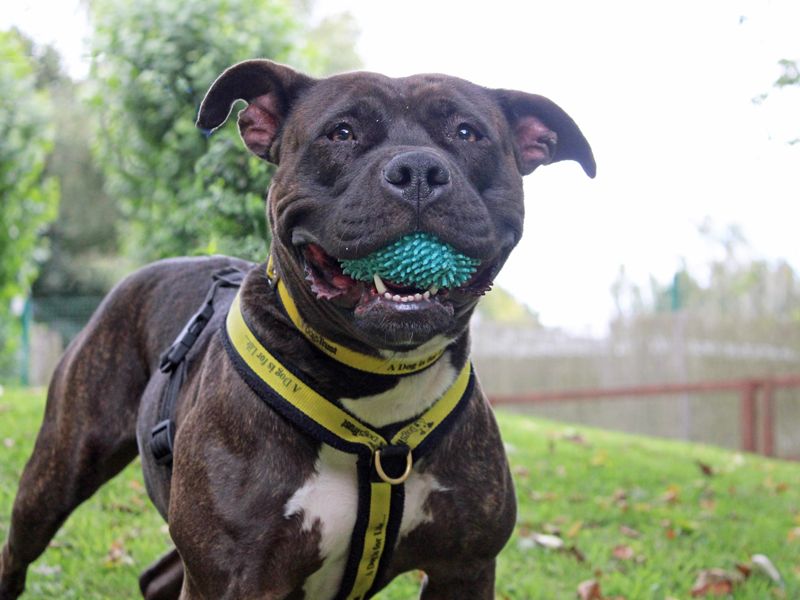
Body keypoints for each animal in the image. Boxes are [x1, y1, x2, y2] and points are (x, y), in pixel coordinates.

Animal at [0, 57, 592, 600]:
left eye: (467, 133)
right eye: (342, 132)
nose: (419, 171)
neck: (377, 392)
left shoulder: (465, 568)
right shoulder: (230, 579)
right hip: (59, 468)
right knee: (19, 548)